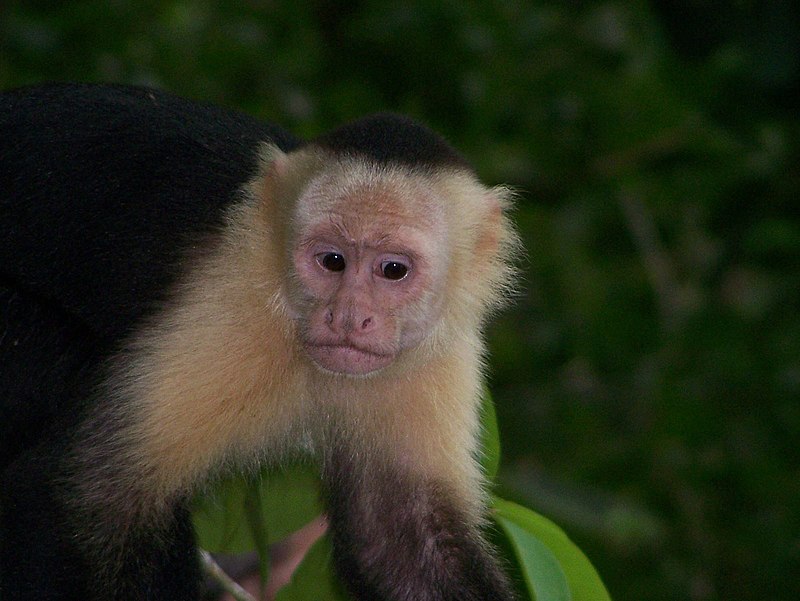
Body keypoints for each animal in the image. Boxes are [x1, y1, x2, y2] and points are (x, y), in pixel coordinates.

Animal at [0, 84, 520, 600]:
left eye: (393, 269)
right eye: (332, 261)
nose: (349, 317)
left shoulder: (441, 350)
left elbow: (402, 544)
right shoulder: (234, 303)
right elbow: (100, 498)